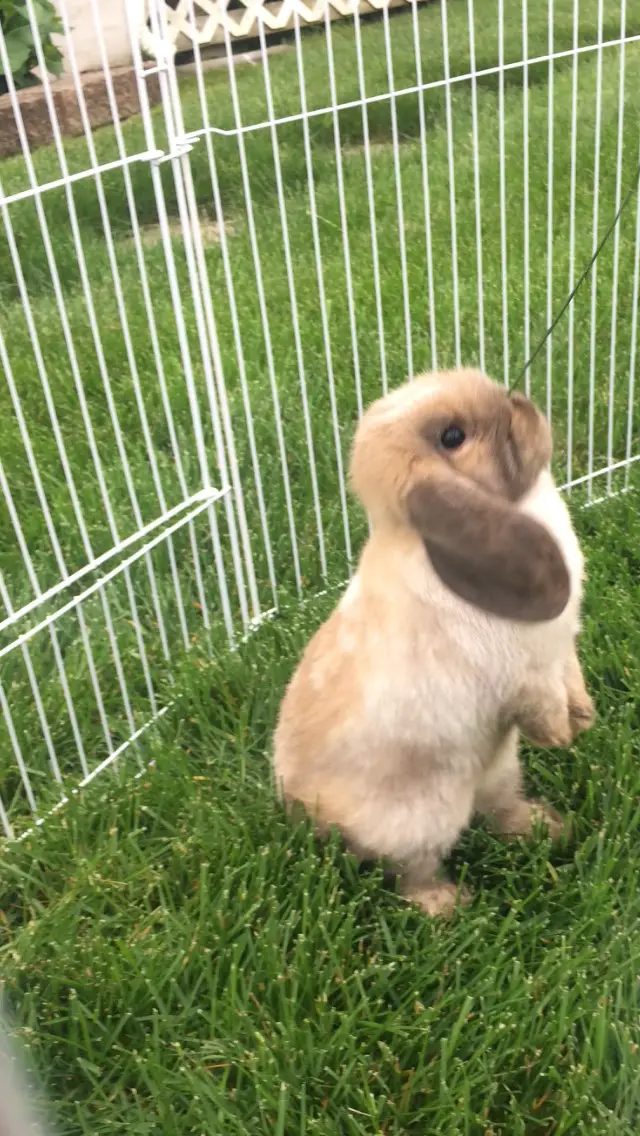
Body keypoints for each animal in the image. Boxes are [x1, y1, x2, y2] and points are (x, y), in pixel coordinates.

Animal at [271, 368, 595, 917]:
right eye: (452, 437)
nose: (517, 401)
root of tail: (308, 810)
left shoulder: (560, 653)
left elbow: (571, 679)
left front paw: (584, 717)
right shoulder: (526, 673)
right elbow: (542, 704)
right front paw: (559, 735)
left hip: (499, 768)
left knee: (498, 809)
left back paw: (547, 828)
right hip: (422, 816)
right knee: (410, 870)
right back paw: (447, 904)